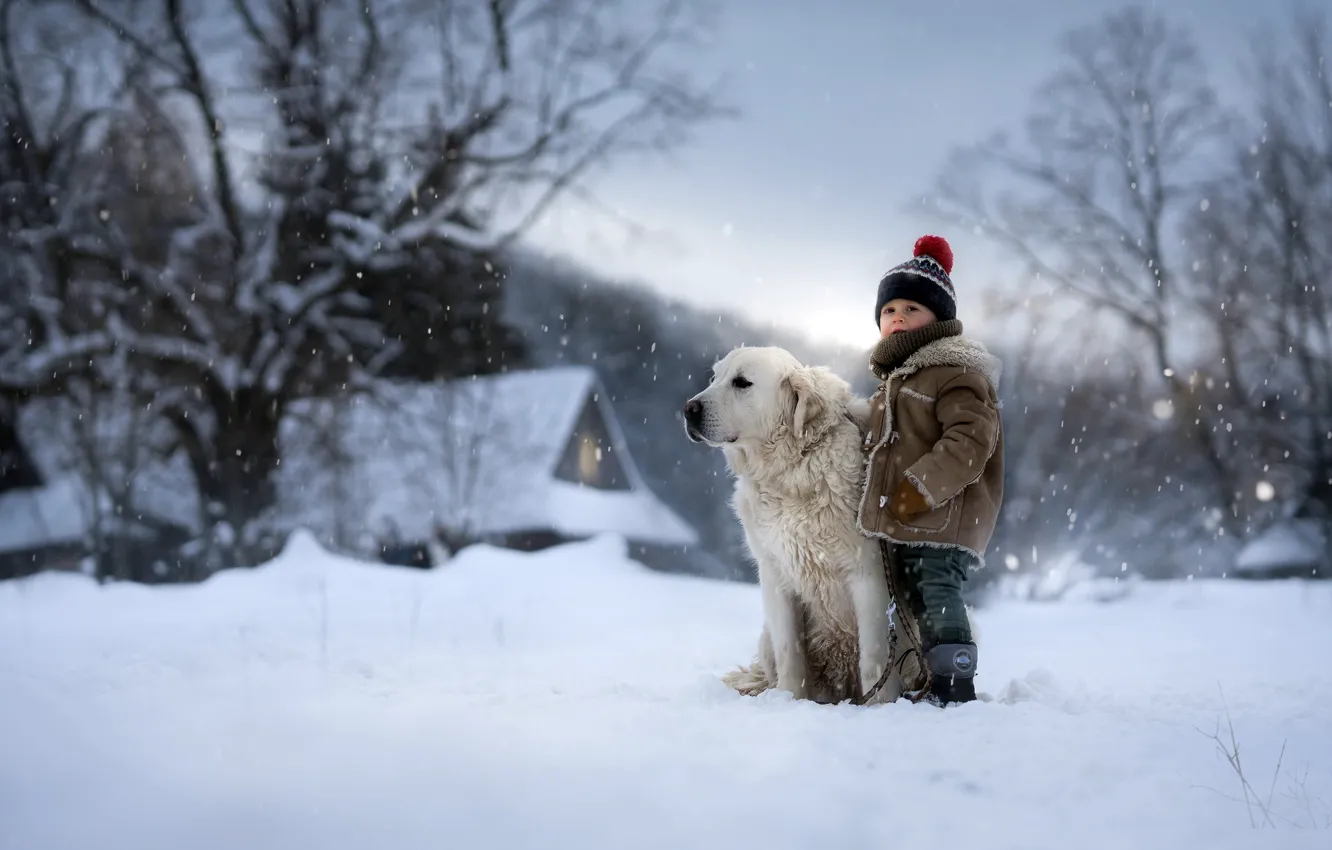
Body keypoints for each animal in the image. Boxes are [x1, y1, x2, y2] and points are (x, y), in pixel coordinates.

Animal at [687, 346, 905, 703]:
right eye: (714, 377)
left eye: (742, 382)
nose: (688, 409)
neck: (792, 469)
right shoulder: (775, 573)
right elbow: (790, 651)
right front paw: (788, 701)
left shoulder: (868, 573)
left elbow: (874, 657)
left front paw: (881, 706)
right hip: (766, 638)